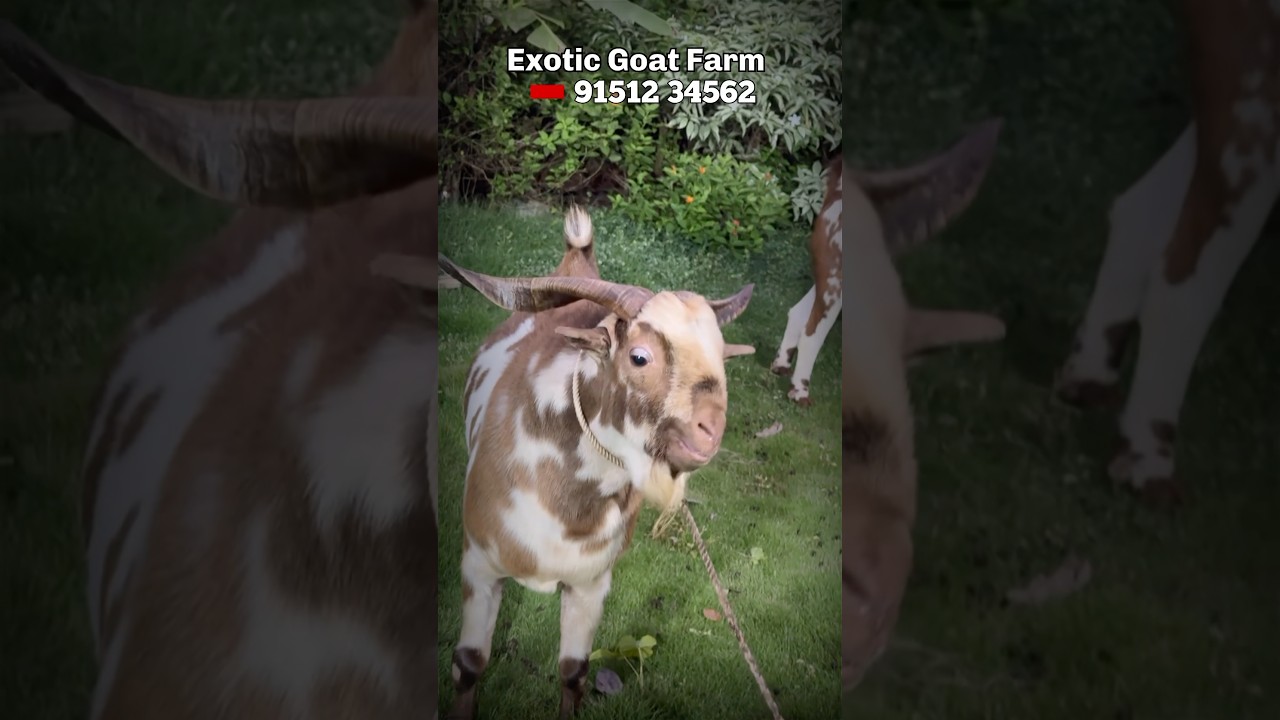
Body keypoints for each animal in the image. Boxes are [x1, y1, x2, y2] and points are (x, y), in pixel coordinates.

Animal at [434, 207, 755, 719]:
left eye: (722, 357)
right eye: (639, 356)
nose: (710, 429)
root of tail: (578, 260)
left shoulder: (591, 582)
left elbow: (574, 672)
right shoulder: (479, 564)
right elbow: (469, 664)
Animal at [772, 120, 1007, 405]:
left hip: (832, 273)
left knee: (799, 312)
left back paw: (782, 365)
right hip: (836, 278)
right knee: (812, 331)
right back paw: (800, 391)